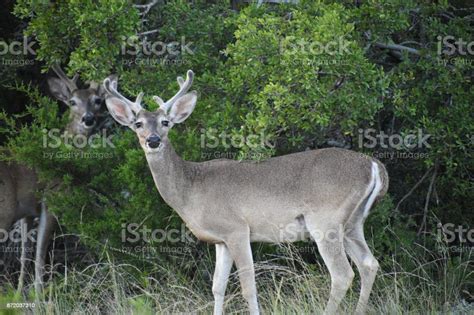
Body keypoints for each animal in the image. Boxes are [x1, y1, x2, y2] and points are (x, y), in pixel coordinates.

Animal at [0, 64, 110, 296]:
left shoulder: (27, 213)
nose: (88, 119)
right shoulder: (52, 200)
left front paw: (20, 292)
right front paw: (39, 297)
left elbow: (25, 255)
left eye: (97, 100)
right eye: (72, 101)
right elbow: (40, 256)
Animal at [103, 71, 388, 315]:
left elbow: (248, 287)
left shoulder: (238, 230)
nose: (153, 140)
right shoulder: (220, 241)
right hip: (352, 223)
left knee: (342, 274)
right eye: (138, 123)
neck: (191, 189)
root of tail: (374, 166)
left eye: (165, 122)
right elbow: (217, 287)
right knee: (369, 264)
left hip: (325, 220)